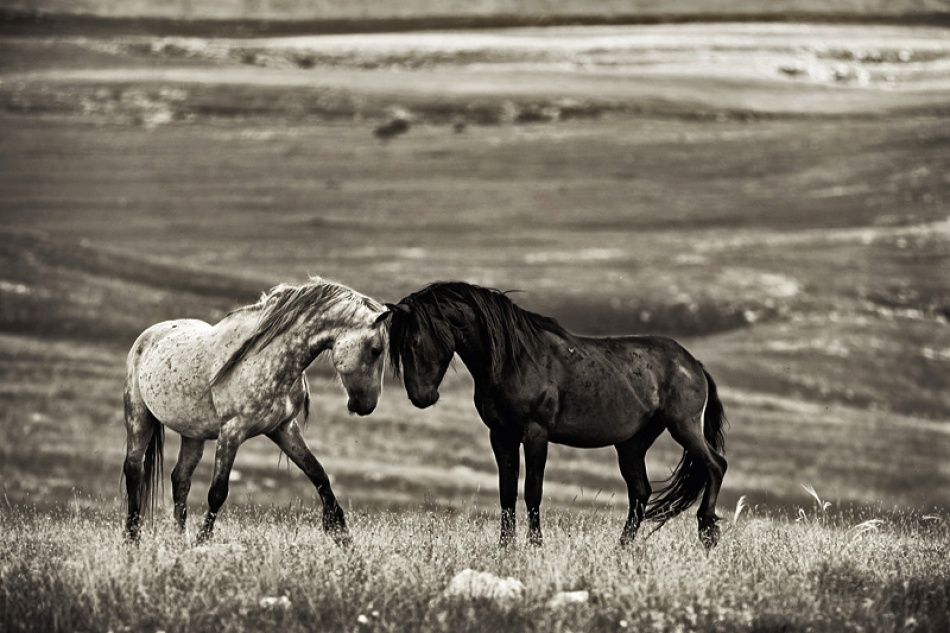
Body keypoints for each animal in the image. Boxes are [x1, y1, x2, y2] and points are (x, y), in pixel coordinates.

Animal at [386, 282, 728, 548]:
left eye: (415, 340)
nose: (420, 397)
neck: (514, 359)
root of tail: (692, 364)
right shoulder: (501, 435)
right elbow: (506, 492)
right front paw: (505, 547)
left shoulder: (536, 434)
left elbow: (532, 491)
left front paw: (536, 545)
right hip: (632, 444)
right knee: (640, 491)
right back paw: (622, 547)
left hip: (683, 426)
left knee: (716, 466)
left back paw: (707, 532)